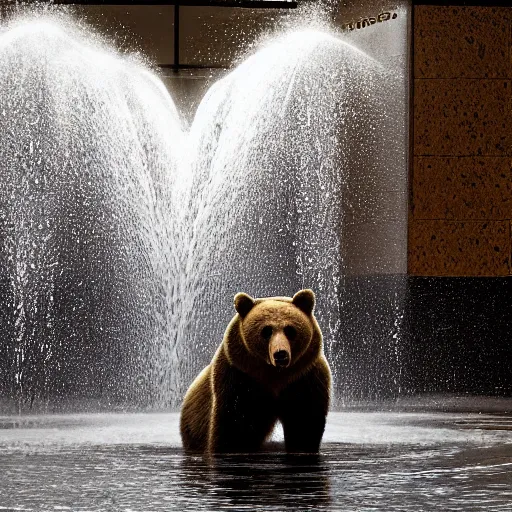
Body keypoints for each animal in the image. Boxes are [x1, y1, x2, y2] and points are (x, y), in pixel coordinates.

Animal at [181, 290, 332, 454]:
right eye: (266, 331)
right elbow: (233, 424)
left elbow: (305, 421)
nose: (281, 354)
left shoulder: (305, 377)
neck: (275, 377)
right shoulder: (238, 378)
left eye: (290, 330)